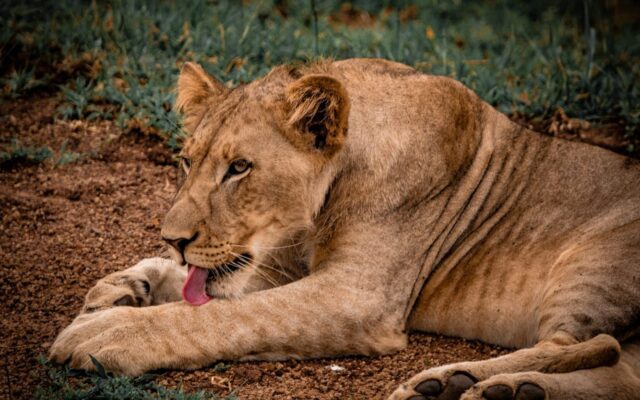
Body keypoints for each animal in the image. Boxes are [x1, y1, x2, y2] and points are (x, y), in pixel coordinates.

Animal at [50, 58, 640, 400]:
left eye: (238, 168)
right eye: (185, 162)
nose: (173, 239)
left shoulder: (358, 295)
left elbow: (226, 316)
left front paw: (107, 333)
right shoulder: (275, 266)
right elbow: (204, 289)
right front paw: (119, 290)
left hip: (596, 262)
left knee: (596, 341)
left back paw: (458, 382)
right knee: (623, 371)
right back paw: (496, 388)